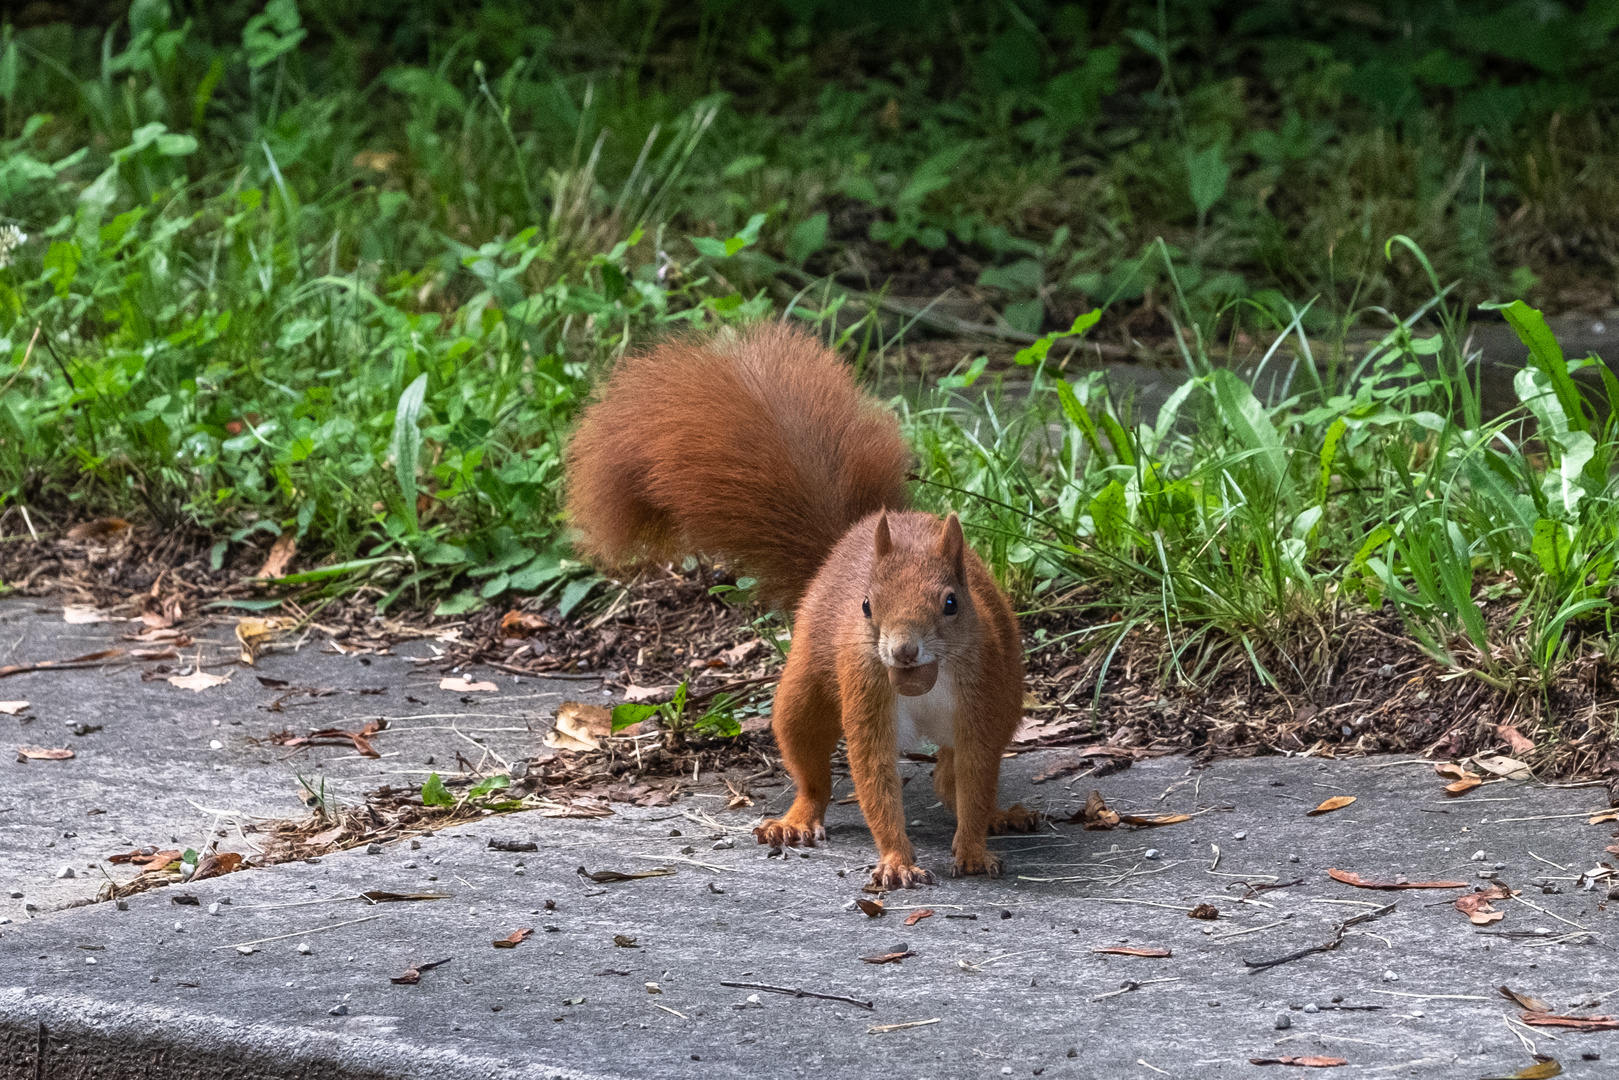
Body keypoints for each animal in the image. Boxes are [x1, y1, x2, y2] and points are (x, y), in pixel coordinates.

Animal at [566, 320, 1036, 887]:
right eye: (866, 606)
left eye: (950, 603)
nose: (903, 651)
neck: (926, 680)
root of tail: (850, 537)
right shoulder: (865, 688)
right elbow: (874, 774)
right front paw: (897, 860)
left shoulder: (981, 698)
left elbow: (975, 776)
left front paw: (972, 849)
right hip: (804, 694)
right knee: (814, 771)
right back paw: (796, 820)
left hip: (1007, 698)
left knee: (951, 777)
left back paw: (1001, 816)